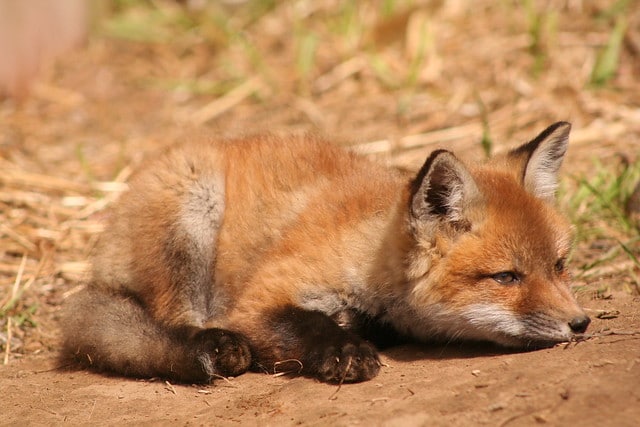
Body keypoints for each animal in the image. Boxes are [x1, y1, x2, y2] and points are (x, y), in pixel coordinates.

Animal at [61, 121, 592, 384]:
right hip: (193, 216)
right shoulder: (256, 301)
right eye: (506, 277)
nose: (581, 323)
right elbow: (302, 324)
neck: (367, 251)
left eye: (559, 266)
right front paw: (342, 351)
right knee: (173, 324)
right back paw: (211, 349)